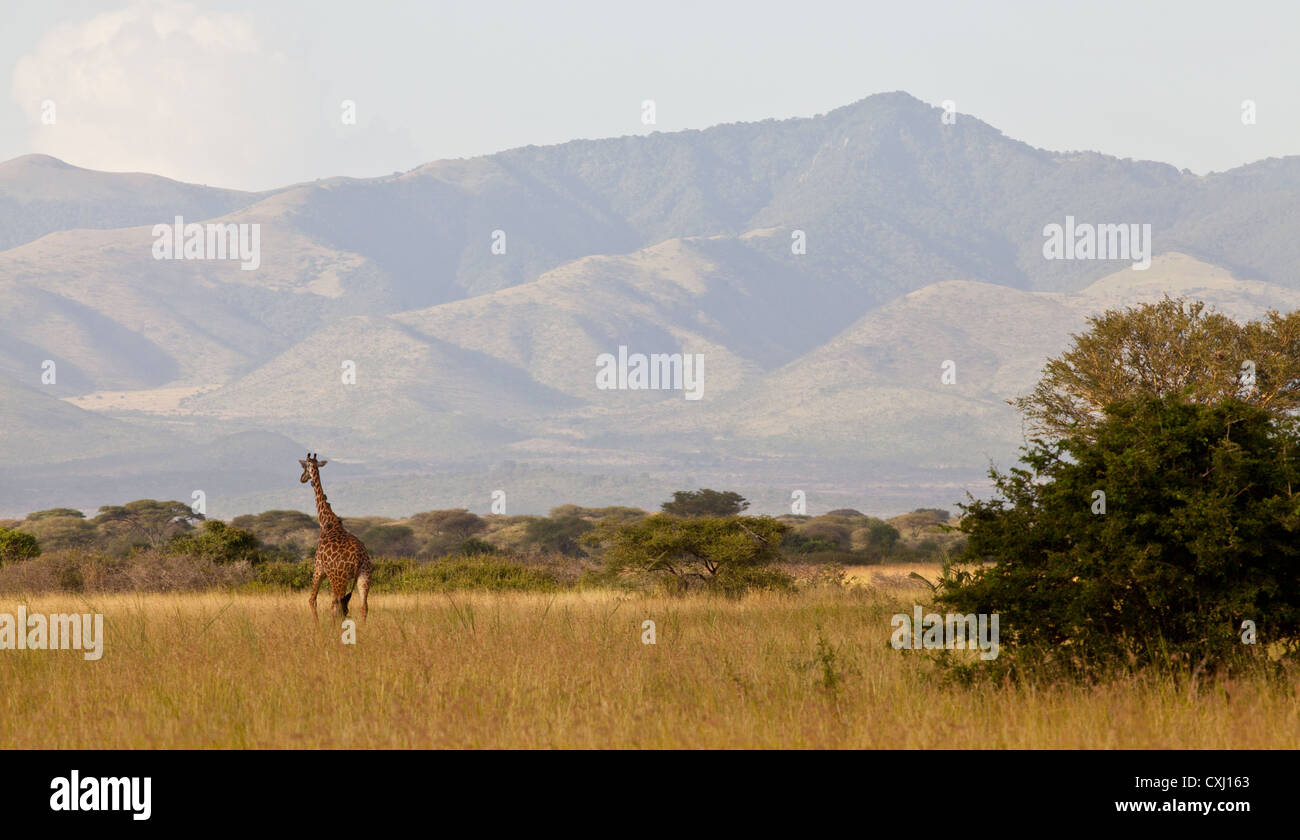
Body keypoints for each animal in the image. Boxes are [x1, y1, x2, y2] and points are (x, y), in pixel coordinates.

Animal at [299, 453, 372, 621]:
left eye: (305, 466)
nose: (302, 478)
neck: (326, 522)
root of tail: (358, 558)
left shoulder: (318, 568)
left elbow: (312, 600)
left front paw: (317, 625)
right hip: (364, 576)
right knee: (362, 606)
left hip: (338, 579)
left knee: (336, 605)